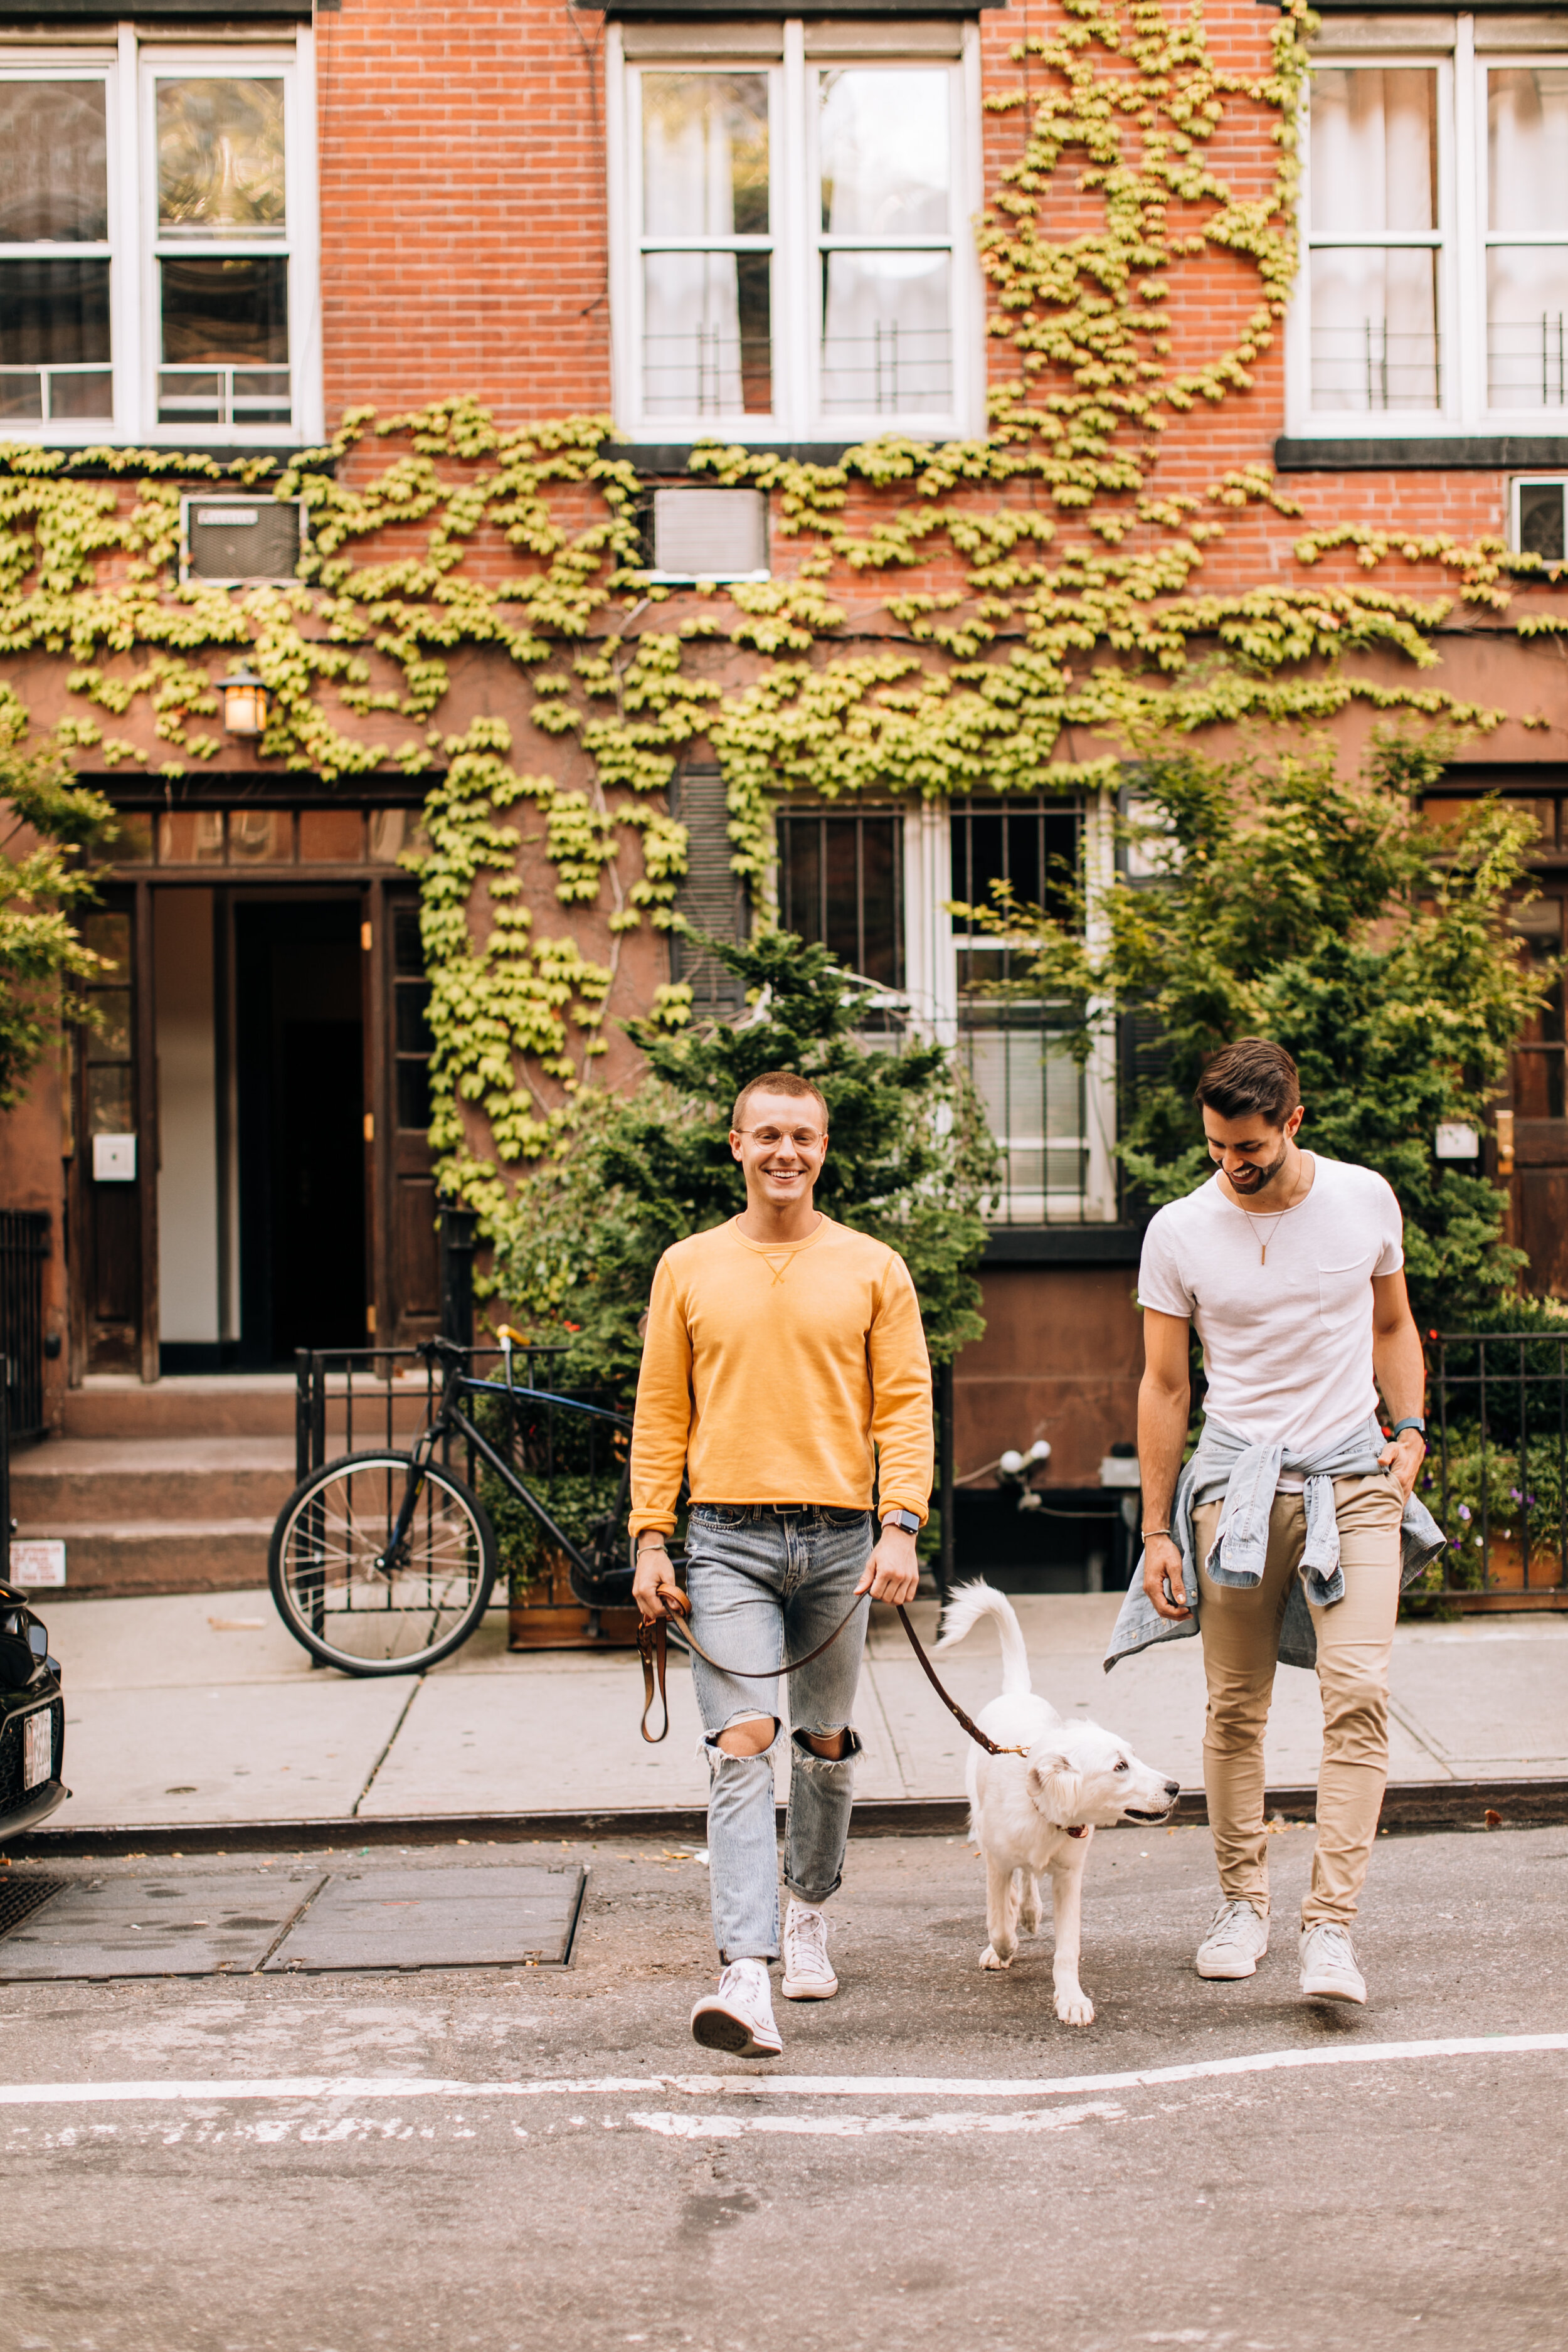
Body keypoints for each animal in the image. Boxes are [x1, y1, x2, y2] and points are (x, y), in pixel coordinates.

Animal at [931, 1581, 1175, 2023]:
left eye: (1134, 1757)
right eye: (1119, 1767)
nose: (1175, 1788)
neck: (1045, 1813)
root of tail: (1017, 1693)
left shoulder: (1069, 1875)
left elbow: (1067, 1947)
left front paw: (1071, 1998)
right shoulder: (997, 1861)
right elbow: (997, 1922)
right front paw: (1003, 1948)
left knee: (1029, 1878)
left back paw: (1029, 1910)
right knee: (1012, 1886)